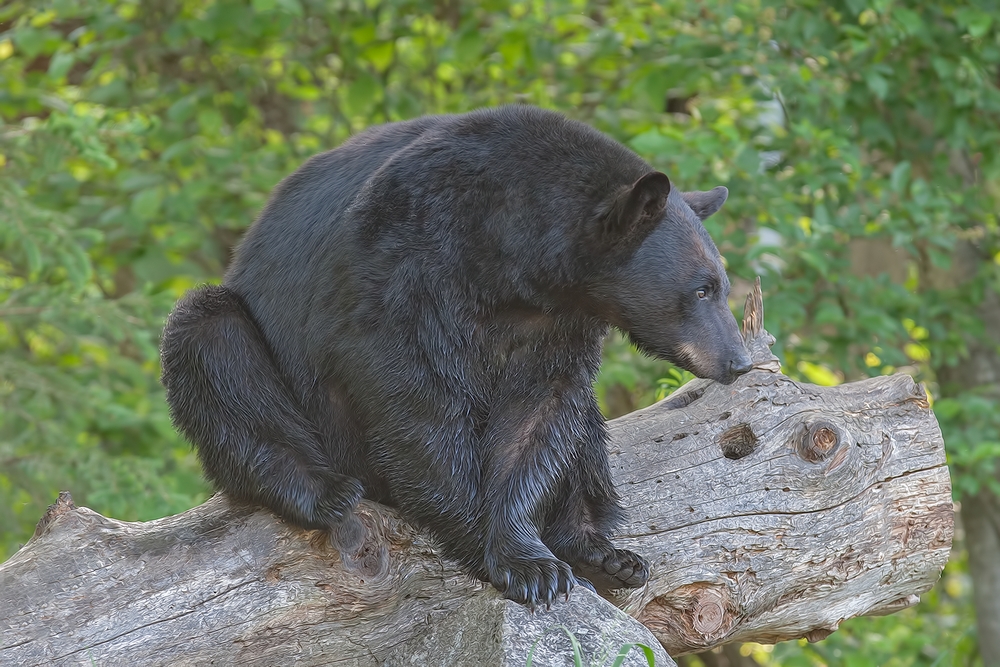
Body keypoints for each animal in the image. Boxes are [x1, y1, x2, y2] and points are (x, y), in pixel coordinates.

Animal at [160, 105, 752, 612]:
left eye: (720, 285)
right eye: (703, 288)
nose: (740, 361)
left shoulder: (558, 326)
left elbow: (540, 415)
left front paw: (528, 554)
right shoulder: (406, 262)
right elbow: (417, 406)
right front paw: (497, 552)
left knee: (584, 426)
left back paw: (602, 552)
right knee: (211, 342)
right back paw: (320, 489)